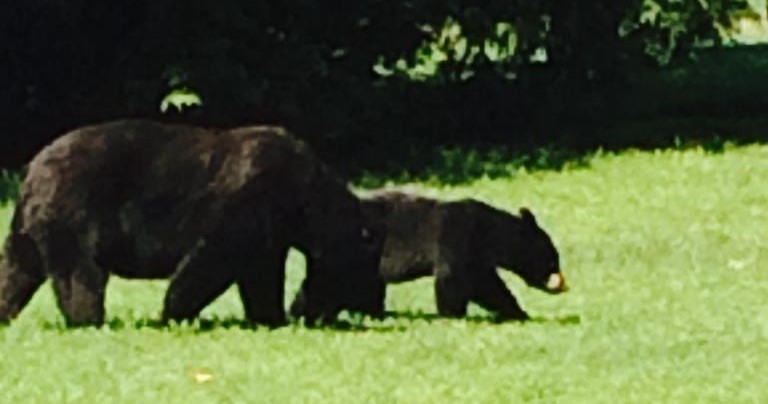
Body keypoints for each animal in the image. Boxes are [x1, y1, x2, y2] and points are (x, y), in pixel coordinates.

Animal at [0, 119, 384, 327]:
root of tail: (32, 170)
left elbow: (260, 274)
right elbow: (211, 259)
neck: (305, 200)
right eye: (369, 279)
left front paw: (271, 317)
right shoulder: (249, 199)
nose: (379, 309)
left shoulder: (270, 231)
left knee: (17, 267)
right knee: (80, 272)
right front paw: (171, 314)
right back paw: (89, 318)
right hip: (75, 211)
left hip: (30, 224)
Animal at [291, 190, 568, 321]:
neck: (488, 232)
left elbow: (488, 285)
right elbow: (452, 278)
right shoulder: (457, 238)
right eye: (552, 257)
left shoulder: (477, 257)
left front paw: (517, 313)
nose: (559, 280)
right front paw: (452, 315)